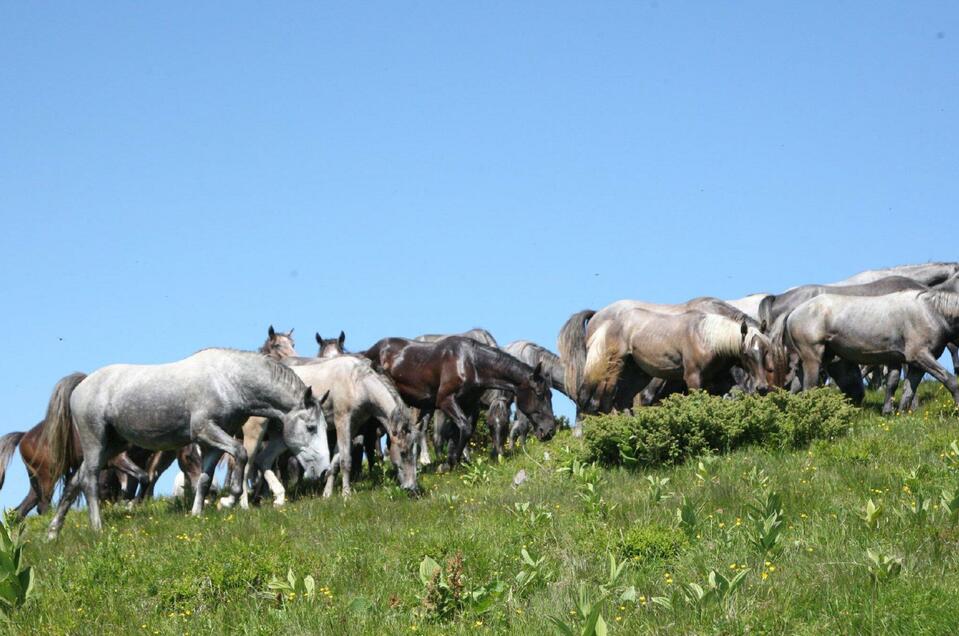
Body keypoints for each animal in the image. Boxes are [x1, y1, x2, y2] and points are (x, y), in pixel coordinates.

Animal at [43, 348, 332, 536]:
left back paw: (53, 532)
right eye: (311, 427)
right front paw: (230, 500)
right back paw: (97, 526)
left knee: (75, 481)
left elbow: (204, 478)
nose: (324, 470)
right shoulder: (207, 431)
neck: (227, 380)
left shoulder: (210, 443)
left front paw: (197, 513)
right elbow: (240, 454)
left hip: (113, 444)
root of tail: (84, 382)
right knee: (89, 480)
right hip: (96, 442)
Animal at [362, 336, 556, 470]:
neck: (469, 363)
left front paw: (454, 460)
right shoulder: (446, 401)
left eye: (551, 395)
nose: (549, 431)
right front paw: (451, 462)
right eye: (540, 394)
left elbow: (459, 432)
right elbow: (464, 428)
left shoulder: (469, 405)